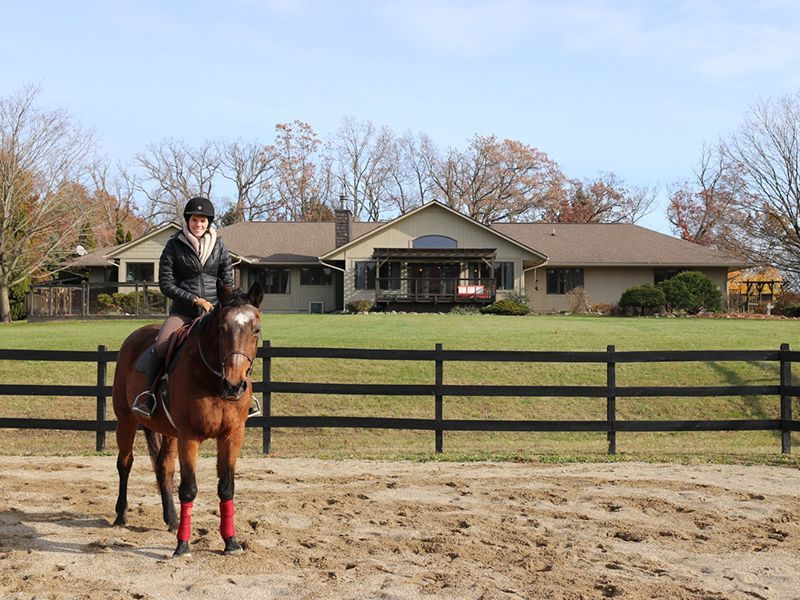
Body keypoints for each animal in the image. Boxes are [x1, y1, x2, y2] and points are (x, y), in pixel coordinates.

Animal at [112, 279, 264, 557]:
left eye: (255, 329)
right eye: (222, 328)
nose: (234, 385)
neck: (213, 382)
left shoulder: (231, 435)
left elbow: (226, 487)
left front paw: (231, 541)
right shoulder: (189, 437)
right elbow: (189, 489)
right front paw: (182, 545)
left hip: (169, 432)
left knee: (163, 468)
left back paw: (171, 518)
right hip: (126, 421)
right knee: (125, 463)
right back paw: (121, 514)